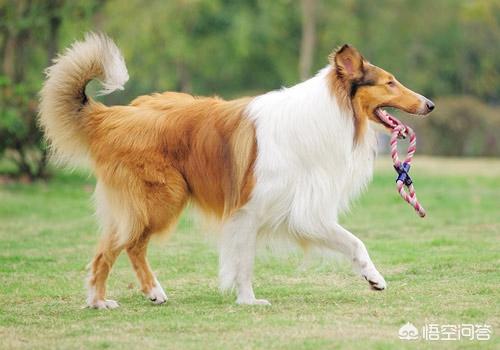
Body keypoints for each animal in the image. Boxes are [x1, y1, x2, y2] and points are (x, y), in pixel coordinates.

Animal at [39, 32, 434, 306]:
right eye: (389, 82)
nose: (430, 104)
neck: (329, 113)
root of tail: (113, 116)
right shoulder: (248, 210)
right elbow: (243, 262)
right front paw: (248, 300)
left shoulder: (302, 211)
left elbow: (354, 242)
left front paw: (374, 278)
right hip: (161, 199)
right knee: (115, 248)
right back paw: (105, 300)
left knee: (125, 245)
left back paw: (141, 294)